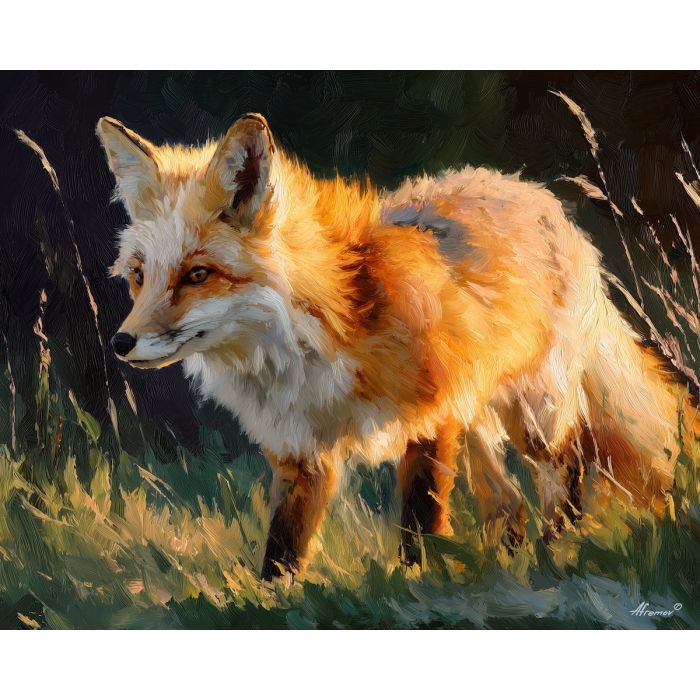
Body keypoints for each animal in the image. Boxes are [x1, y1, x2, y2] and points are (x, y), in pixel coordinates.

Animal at [97, 112, 697, 579]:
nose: (122, 342)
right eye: (139, 276)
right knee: (509, 506)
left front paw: (414, 589)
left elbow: (418, 528)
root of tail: (534, 192)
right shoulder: (300, 451)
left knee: (567, 474)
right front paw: (272, 603)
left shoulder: (431, 419)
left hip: (532, 414)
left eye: (198, 274)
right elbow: (282, 553)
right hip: (477, 421)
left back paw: (559, 555)